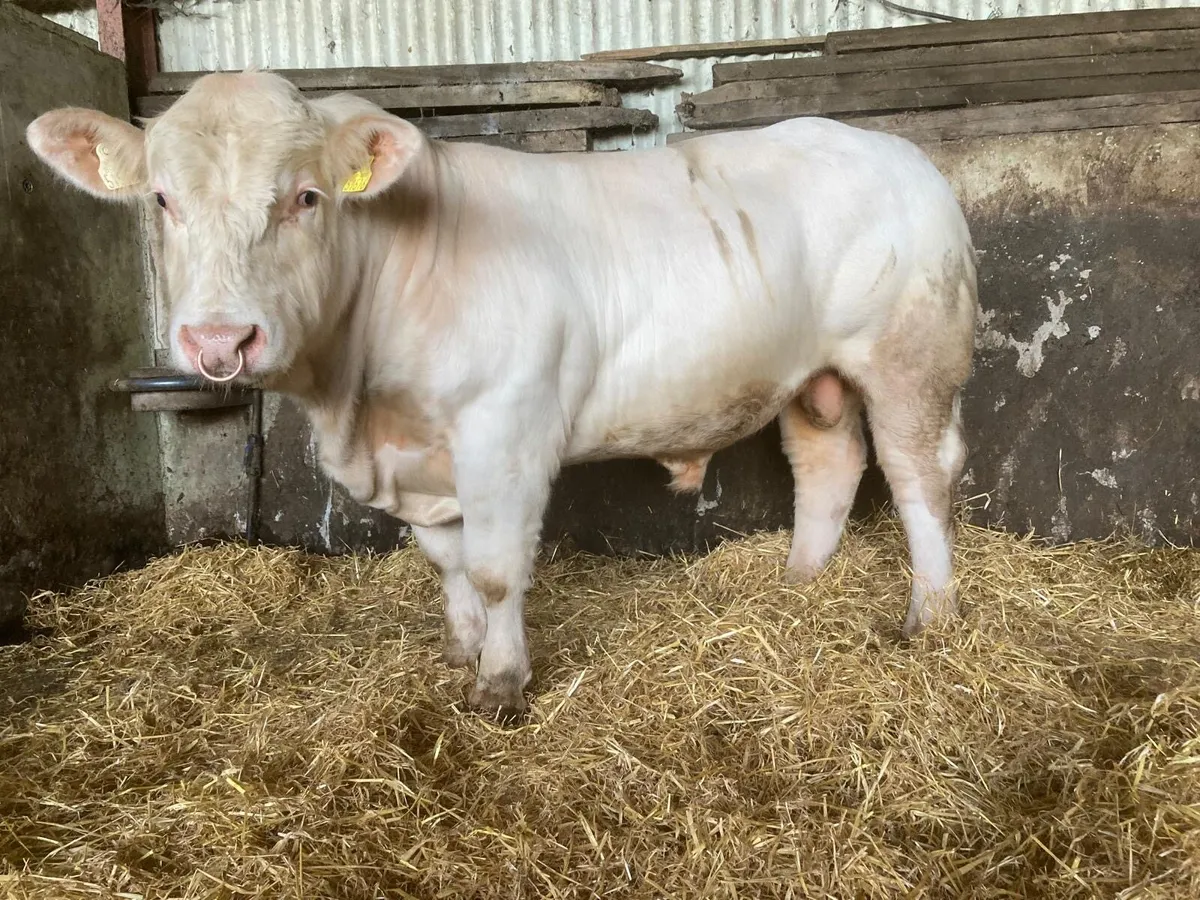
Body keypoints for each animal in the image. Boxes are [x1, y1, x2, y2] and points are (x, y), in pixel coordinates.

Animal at [26, 71, 977, 719]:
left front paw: (502, 685)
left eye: (306, 197)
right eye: (161, 199)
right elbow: (446, 565)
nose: (219, 341)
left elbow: (493, 569)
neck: (358, 400)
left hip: (911, 358)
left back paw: (930, 616)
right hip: (813, 375)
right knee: (829, 462)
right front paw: (462, 652)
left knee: (918, 475)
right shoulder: (421, 456)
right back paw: (798, 583)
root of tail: (904, 155)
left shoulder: (506, 432)